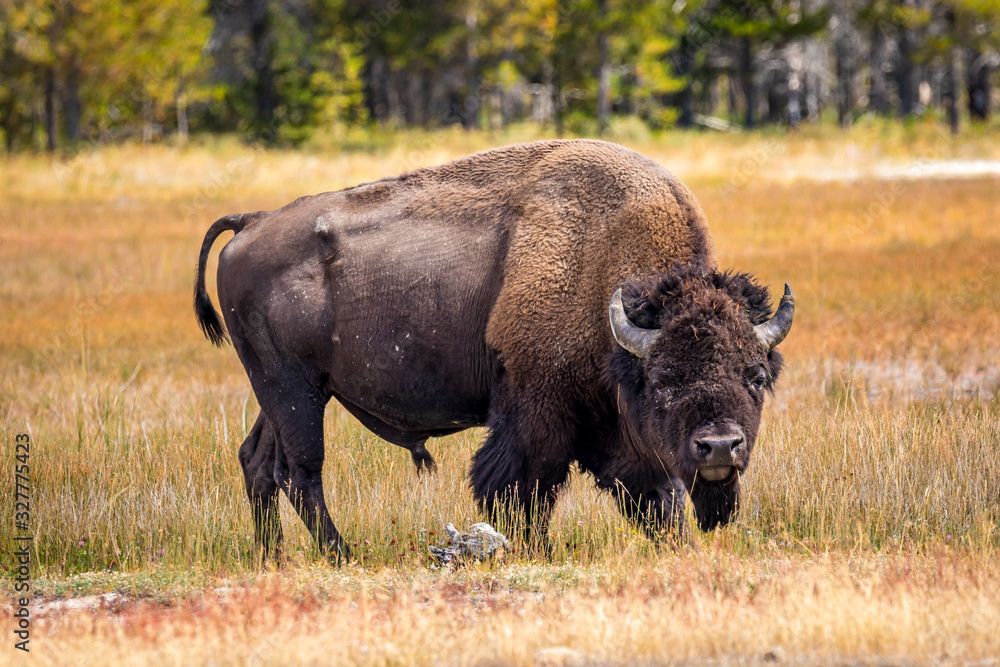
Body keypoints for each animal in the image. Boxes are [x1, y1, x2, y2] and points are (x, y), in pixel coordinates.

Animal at [193, 138, 788, 560]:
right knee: (301, 470)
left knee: (259, 462)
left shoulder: (618, 432)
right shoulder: (536, 411)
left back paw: (274, 557)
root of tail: (252, 222)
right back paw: (341, 555)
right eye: (663, 378)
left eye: (756, 375)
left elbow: (657, 498)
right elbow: (522, 487)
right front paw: (533, 550)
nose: (719, 447)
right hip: (292, 390)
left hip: (288, 392)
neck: (602, 276)